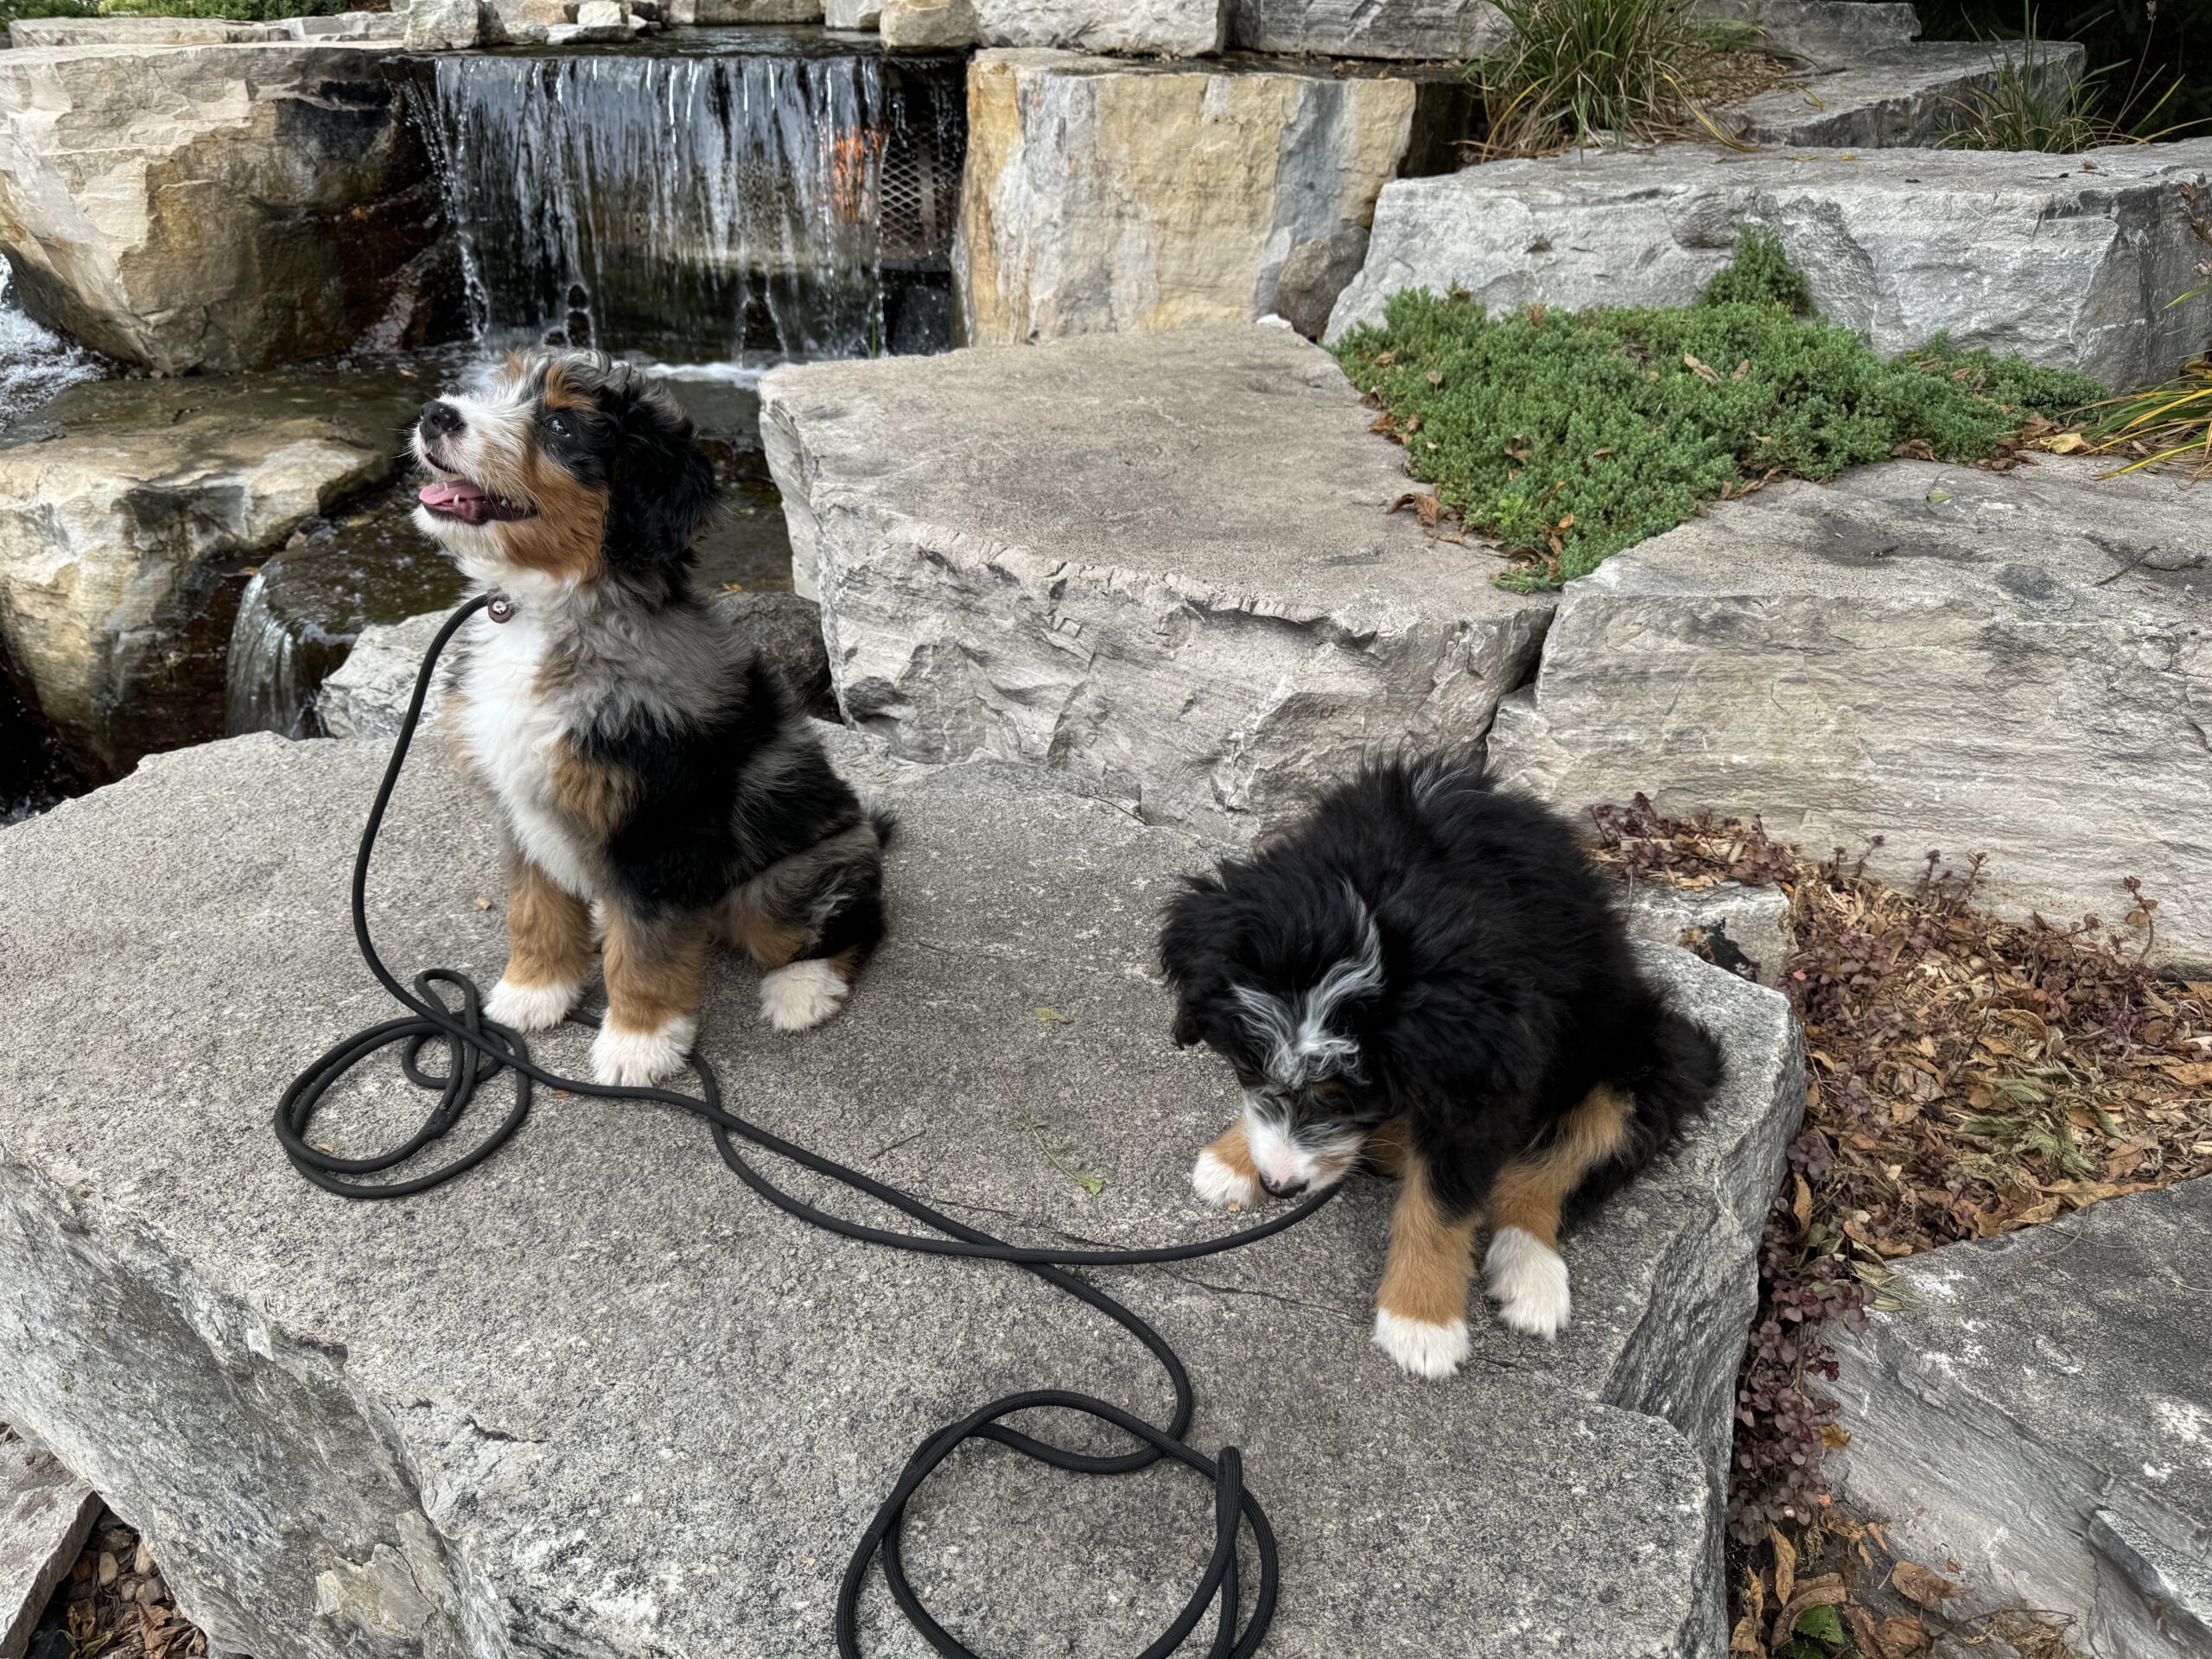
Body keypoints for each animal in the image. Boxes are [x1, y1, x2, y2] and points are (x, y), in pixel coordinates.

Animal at [411, 346, 885, 1092]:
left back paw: (804, 989)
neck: (558, 612)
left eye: (559, 425)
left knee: (857, 919)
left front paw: (639, 1043)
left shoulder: (656, 823)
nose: (437, 414)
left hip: (781, 880)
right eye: (495, 388)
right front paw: (534, 991)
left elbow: (647, 948)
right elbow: (534, 908)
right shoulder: (524, 809)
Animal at [1167, 760, 1716, 1380]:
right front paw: (1233, 1159)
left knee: (1565, 1155)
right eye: (1244, 1064)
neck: (1383, 887)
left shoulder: (1486, 1079)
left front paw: (1420, 1323)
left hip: (1652, 1055)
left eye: (1342, 1095)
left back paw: (1530, 1272)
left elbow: (1442, 1201)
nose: (1281, 1186)